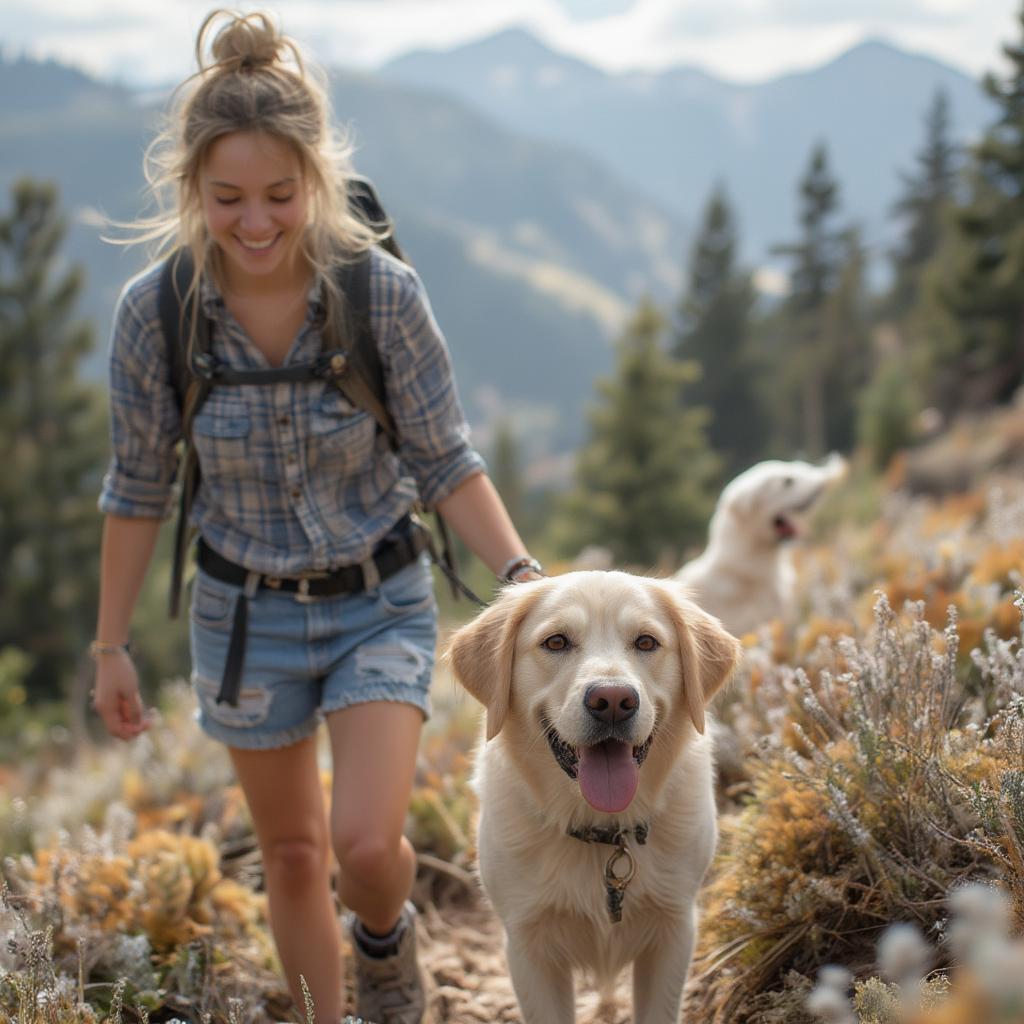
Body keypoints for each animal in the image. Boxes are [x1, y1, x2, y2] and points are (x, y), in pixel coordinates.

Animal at [444, 573, 741, 1019]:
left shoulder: (673, 931)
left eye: (646, 642)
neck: (602, 829)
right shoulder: (528, 945)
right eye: (556, 642)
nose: (614, 701)